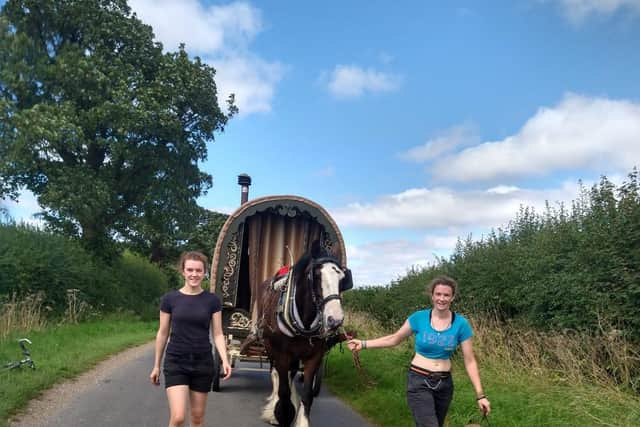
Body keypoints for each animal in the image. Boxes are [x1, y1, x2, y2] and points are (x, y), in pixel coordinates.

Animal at [256, 239, 356, 426]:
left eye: (342, 279)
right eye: (316, 275)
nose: (335, 320)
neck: (304, 322)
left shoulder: (314, 356)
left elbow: (307, 395)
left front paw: (300, 419)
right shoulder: (281, 354)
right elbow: (283, 390)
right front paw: (280, 415)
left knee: (290, 374)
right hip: (269, 346)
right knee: (276, 375)